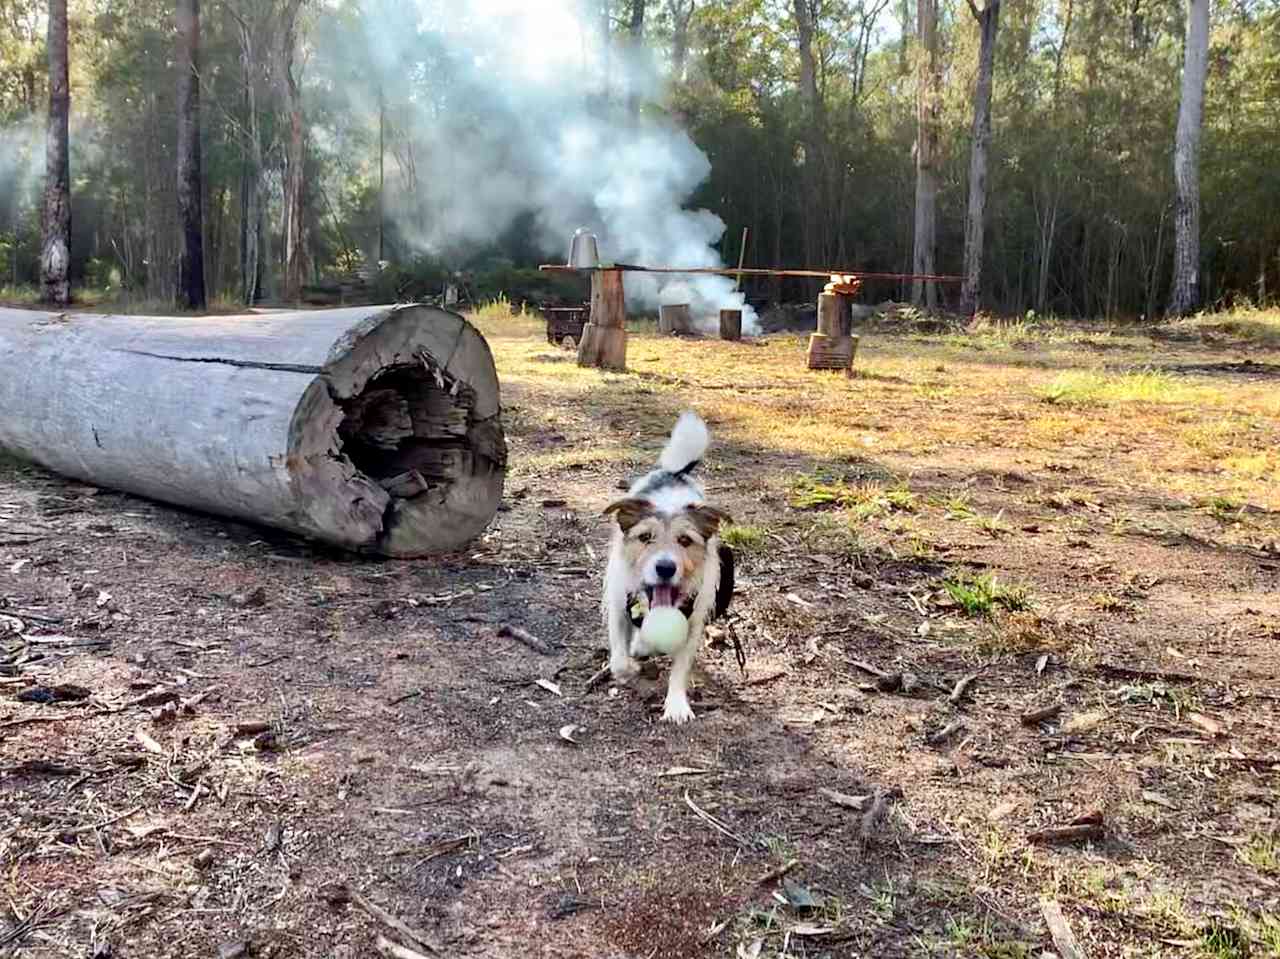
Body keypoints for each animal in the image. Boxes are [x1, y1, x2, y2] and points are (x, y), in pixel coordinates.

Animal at [599, 407, 732, 722]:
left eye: (685, 540)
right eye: (645, 537)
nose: (665, 568)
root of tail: (676, 472)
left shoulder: (693, 621)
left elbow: (680, 666)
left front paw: (676, 705)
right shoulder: (618, 603)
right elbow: (619, 657)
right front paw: (632, 661)